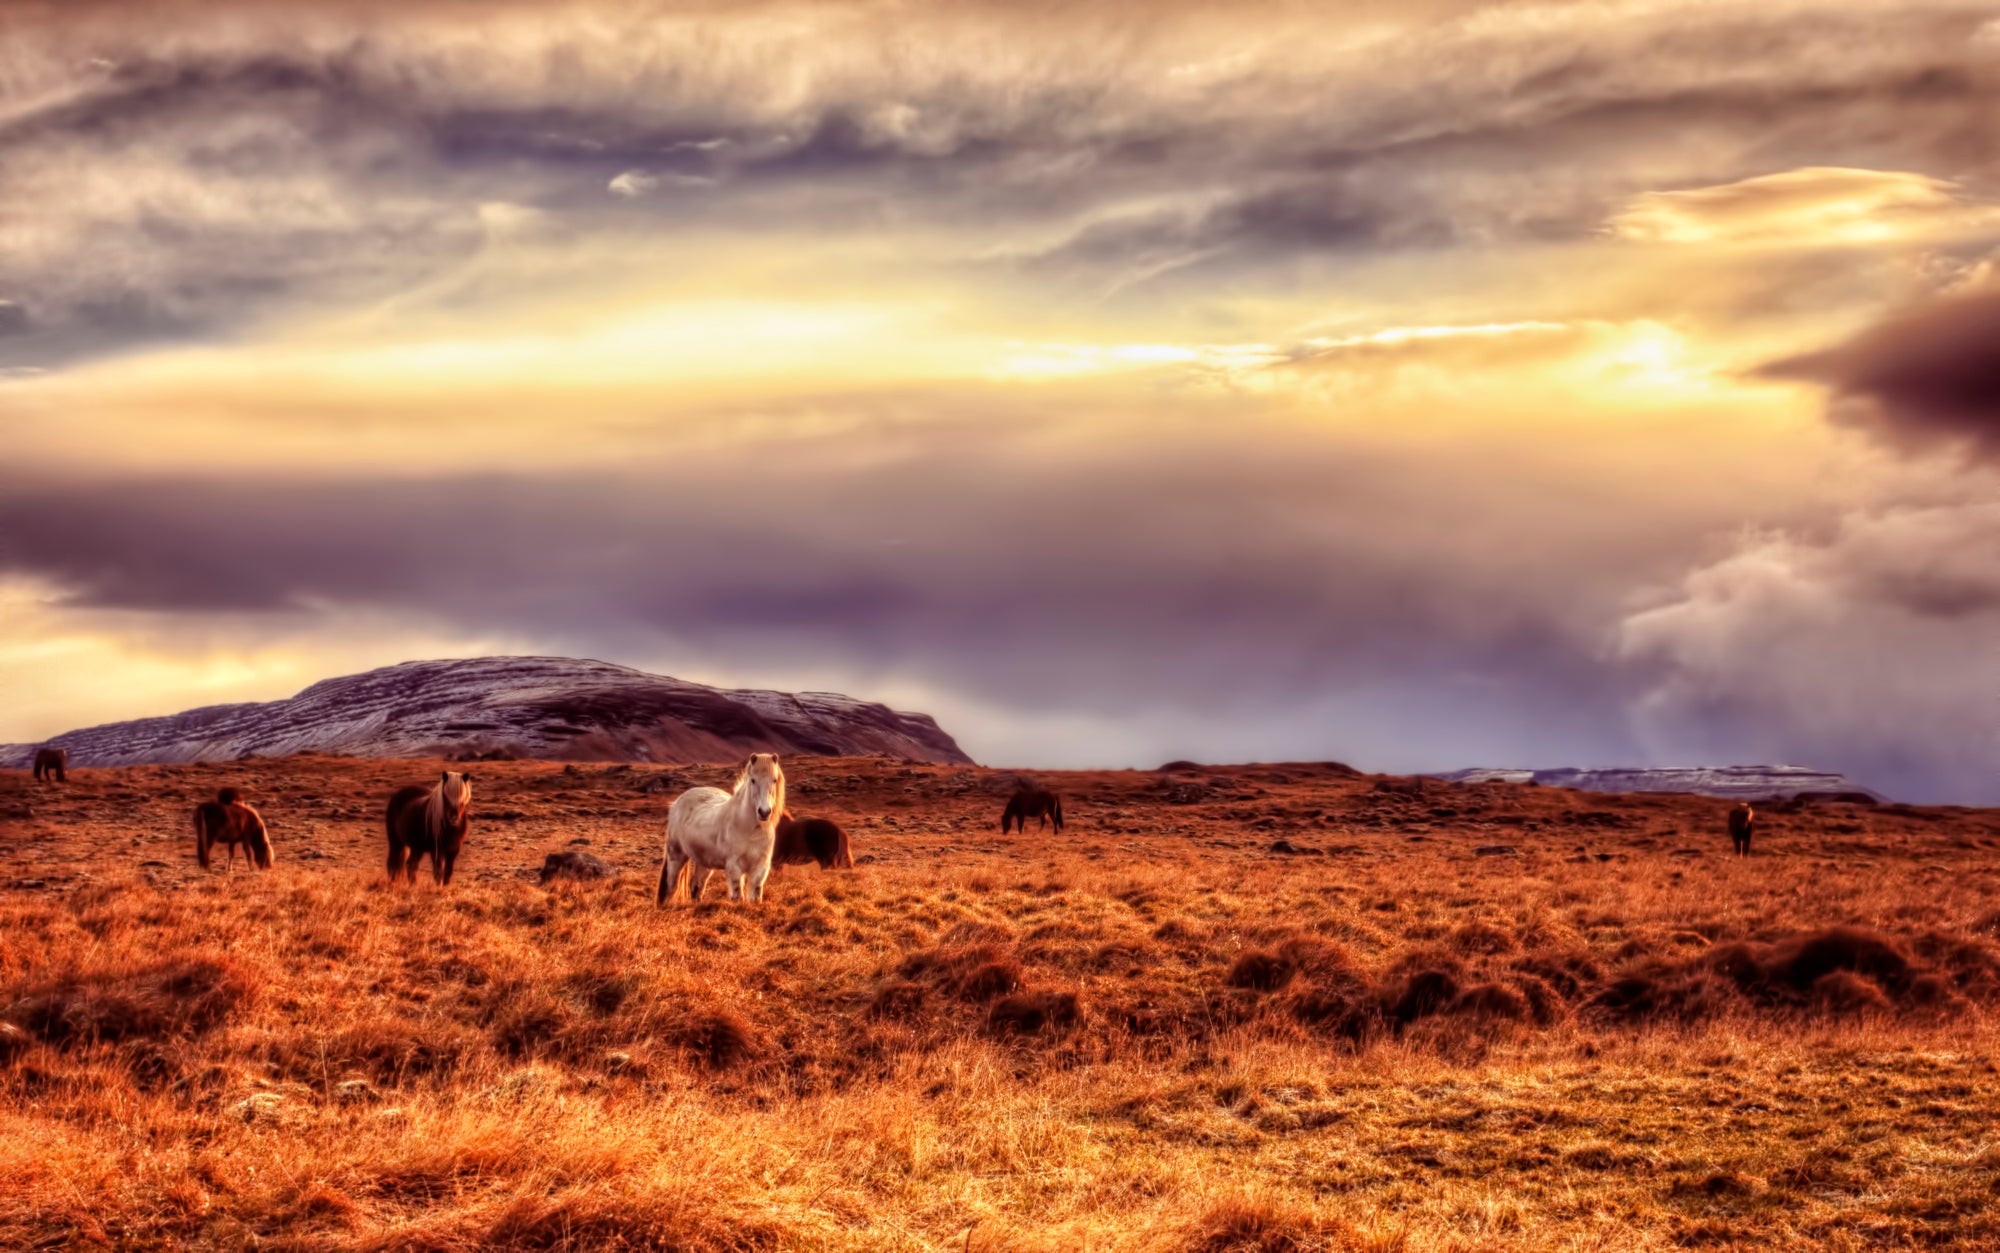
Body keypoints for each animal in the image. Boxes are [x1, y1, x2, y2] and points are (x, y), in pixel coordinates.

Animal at [656, 744, 780, 900]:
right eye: (753, 780)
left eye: (774, 780)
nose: (764, 812)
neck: (751, 829)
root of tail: (676, 802)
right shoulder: (734, 868)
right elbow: (738, 897)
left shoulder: (760, 869)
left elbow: (755, 897)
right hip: (676, 855)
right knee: (671, 887)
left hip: (704, 862)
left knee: (696, 887)